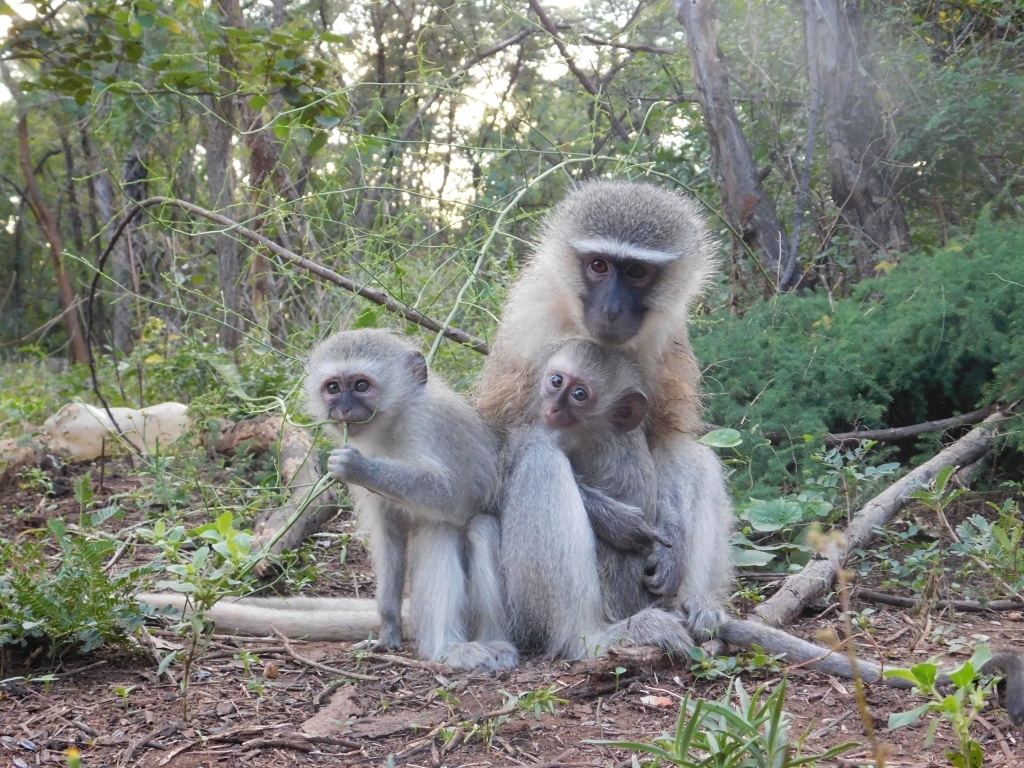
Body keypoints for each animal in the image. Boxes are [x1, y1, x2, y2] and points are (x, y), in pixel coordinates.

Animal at [481, 180, 733, 651]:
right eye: (598, 265)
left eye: (635, 272)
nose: (612, 309)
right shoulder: (528, 326)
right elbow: (495, 442)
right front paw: (614, 519)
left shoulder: (669, 334)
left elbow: (668, 437)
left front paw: (672, 549)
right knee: (539, 459)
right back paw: (591, 636)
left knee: (700, 457)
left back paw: (698, 606)